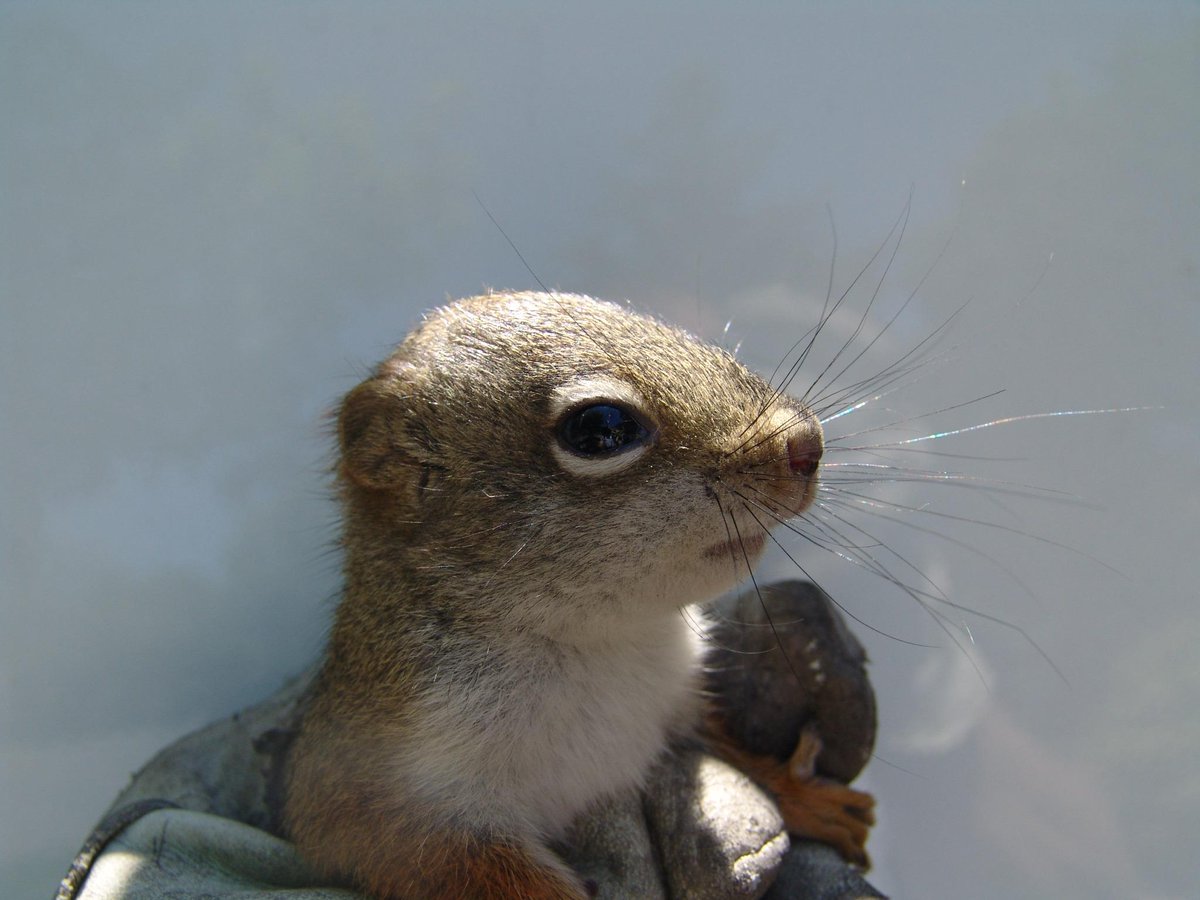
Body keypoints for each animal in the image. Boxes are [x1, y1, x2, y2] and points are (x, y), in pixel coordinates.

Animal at [283, 290, 874, 899]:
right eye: (600, 428)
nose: (807, 445)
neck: (601, 642)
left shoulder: (679, 701)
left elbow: (724, 742)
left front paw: (805, 798)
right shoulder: (385, 791)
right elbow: (437, 858)